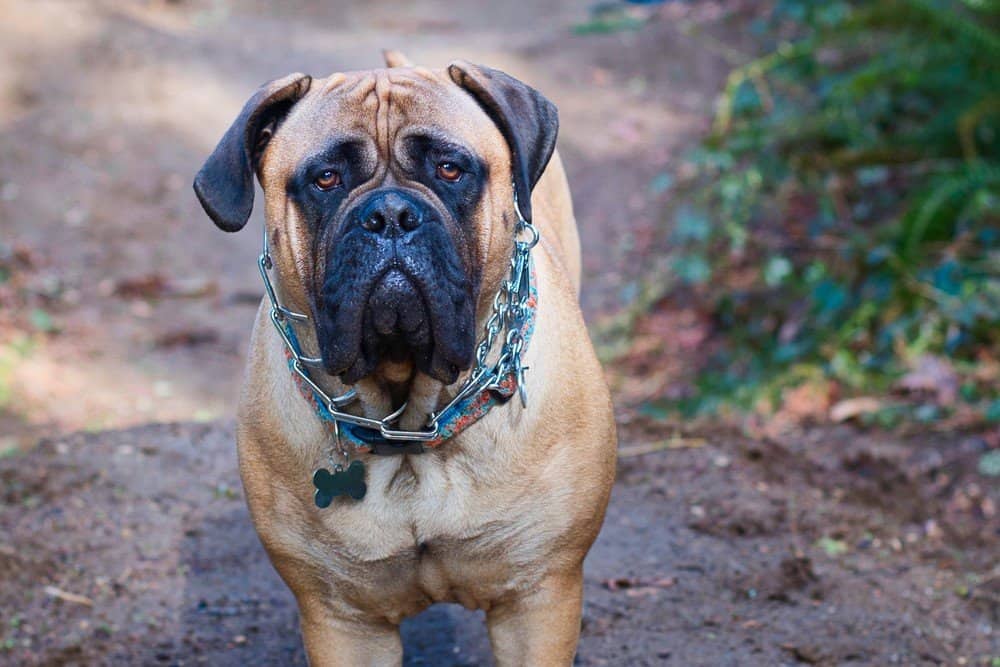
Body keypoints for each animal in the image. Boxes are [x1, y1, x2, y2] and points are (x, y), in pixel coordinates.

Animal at [193, 53, 616, 667]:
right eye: (326, 179)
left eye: (449, 169)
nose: (390, 214)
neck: (411, 423)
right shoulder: (344, 621)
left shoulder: (538, 598)